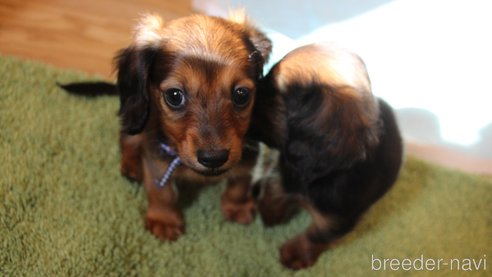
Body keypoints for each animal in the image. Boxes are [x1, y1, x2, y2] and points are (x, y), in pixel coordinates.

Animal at [93, 13, 270, 239]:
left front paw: (236, 207)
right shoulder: (156, 156)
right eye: (174, 96)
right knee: (126, 138)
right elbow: (162, 191)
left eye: (241, 94)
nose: (214, 158)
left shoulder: (246, 153)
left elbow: (240, 181)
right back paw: (131, 165)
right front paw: (164, 220)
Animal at [250, 42, 404, 268]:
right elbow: (275, 190)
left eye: (272, 91)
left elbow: (316, 235)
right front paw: (270, 212)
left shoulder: (337, 218)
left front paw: (296, 253)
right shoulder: (283, 173)